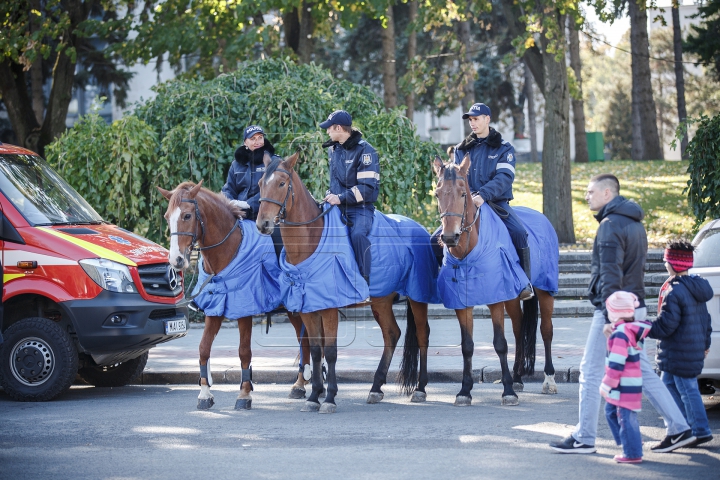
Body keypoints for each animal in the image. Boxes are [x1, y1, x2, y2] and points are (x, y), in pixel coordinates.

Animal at [158, 183, 312, 408]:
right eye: (167, 216)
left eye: (187, 215)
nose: (176, 260)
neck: (228, 248)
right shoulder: (214, 307)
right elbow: (203, 348)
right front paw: (205, 393)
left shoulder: (243, 308)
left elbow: (243, 351)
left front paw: (244, 393)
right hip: (292, 309)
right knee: (305, 338)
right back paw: (300, 384)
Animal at [256, 153, 436, 412]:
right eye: (261, 183)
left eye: (281, 184)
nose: (263, 224)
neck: (312, 238)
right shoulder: (309, 308)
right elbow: (316, 351)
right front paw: (314, 396)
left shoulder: (330, 309)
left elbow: (330, 352)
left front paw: (329, 397)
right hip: (381, 301)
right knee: (391, 334)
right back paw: (375, 387)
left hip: (417, 297)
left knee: (422, 336)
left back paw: (420, 388)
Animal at [434, 157, 556, 404]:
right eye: (437, 193)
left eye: (463, 193)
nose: (449, 237)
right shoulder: (462, 303)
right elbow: (467, 346)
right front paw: (465, 390)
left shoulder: (495, 300)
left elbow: (500, 344)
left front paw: (507, 391)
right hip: (512, 297)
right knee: (519, 331)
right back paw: (518, 377)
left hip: (545, 290)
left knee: (546, 330)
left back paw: (548, 379)